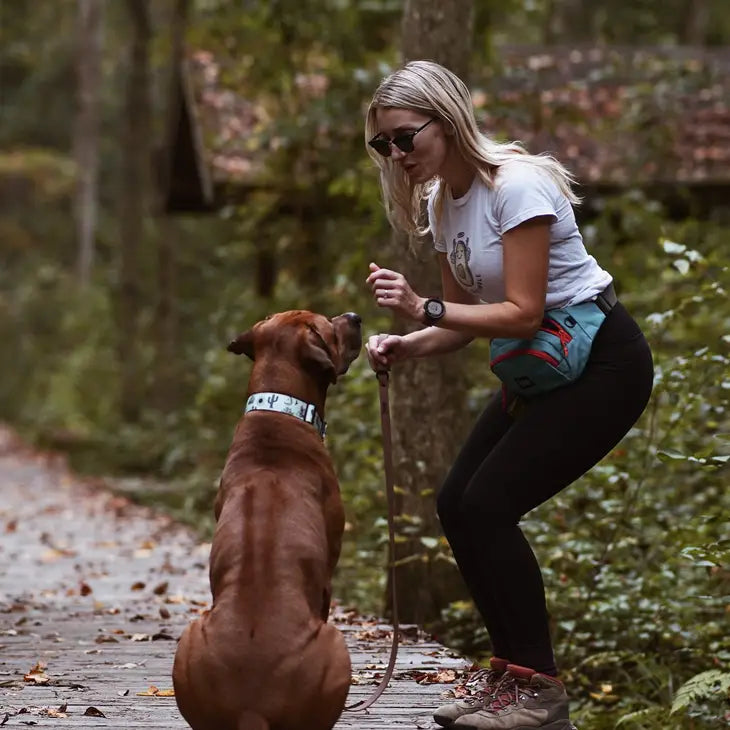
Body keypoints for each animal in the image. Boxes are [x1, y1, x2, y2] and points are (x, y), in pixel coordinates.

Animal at [171, 308, 364, 728]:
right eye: (328, 324)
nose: (355, 316)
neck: (278, 410)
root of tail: (252, 708)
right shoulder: (328, 570)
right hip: (336, 642)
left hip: (190, 636)